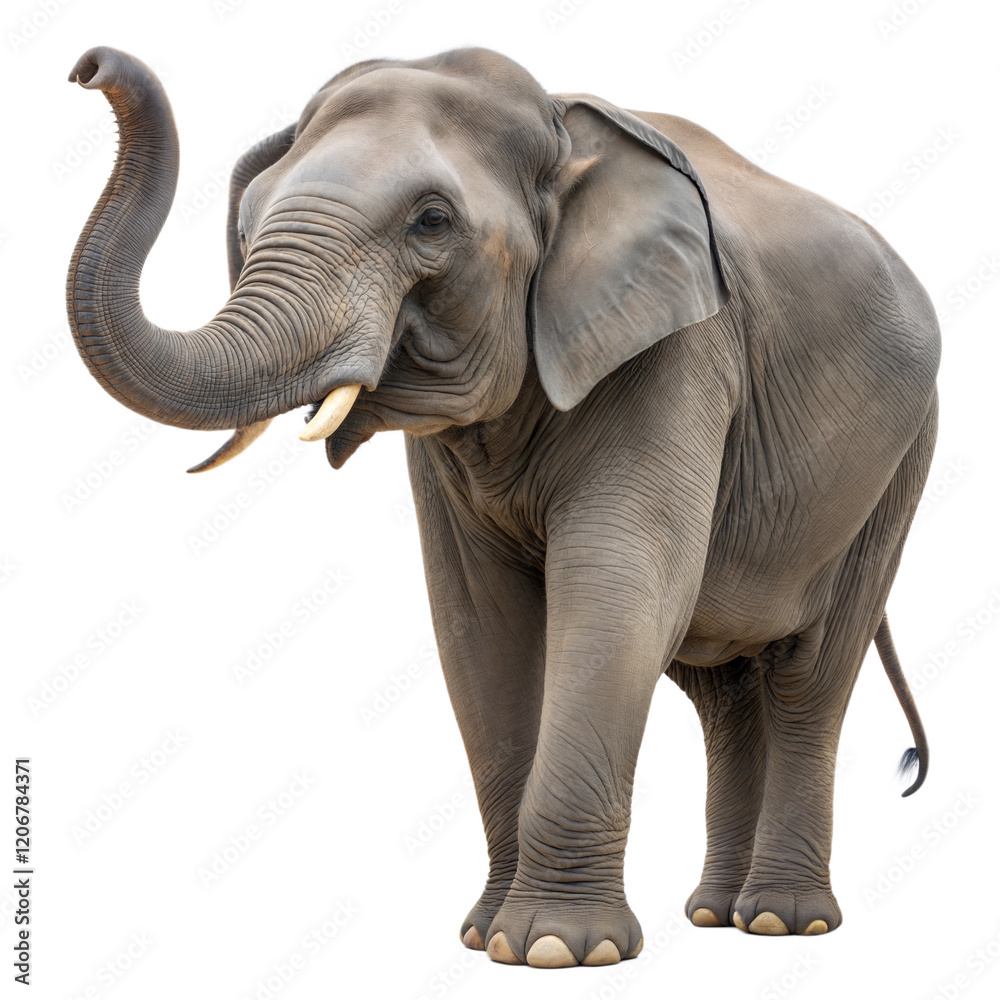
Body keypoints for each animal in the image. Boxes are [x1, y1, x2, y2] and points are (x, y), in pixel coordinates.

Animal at [65, 46, 938, 968]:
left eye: (431, 221)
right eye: (245, 226)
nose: (90, 67)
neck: (562, 128)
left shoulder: (679, 352)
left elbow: (616, 591)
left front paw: (556, 949)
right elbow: (479, 621)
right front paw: (487, 937)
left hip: (901, 461)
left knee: (812, 674)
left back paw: (779, 921)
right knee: (725, 692)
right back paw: (713, 916)